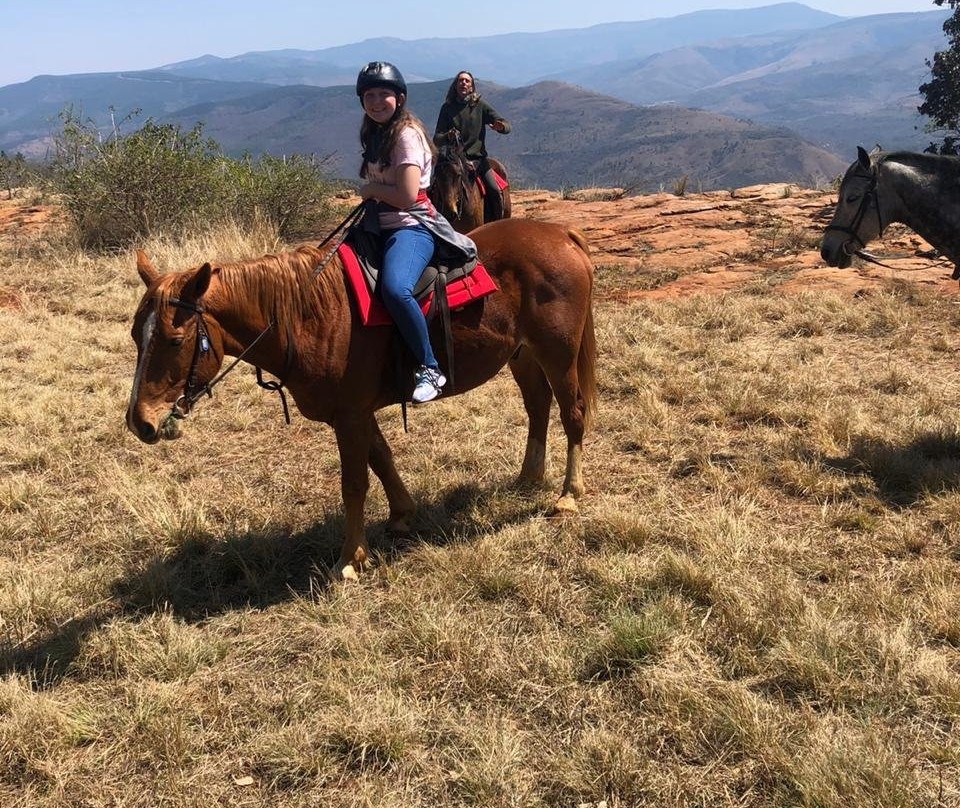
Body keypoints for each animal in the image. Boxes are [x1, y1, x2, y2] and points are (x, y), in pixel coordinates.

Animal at [126, 217, 596, 580]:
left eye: (174, 339)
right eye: (135, 334)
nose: (139, 421)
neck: (309, 316)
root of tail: (562, 233)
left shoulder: (349, 414)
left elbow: (354, 483)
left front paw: (350, 559)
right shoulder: (356, 412)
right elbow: (382, 459)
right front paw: (402, 515)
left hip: (557, 352)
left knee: (572, 413)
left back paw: (569, 495)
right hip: (523, 354)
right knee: (537, 407)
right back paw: (529, 476)